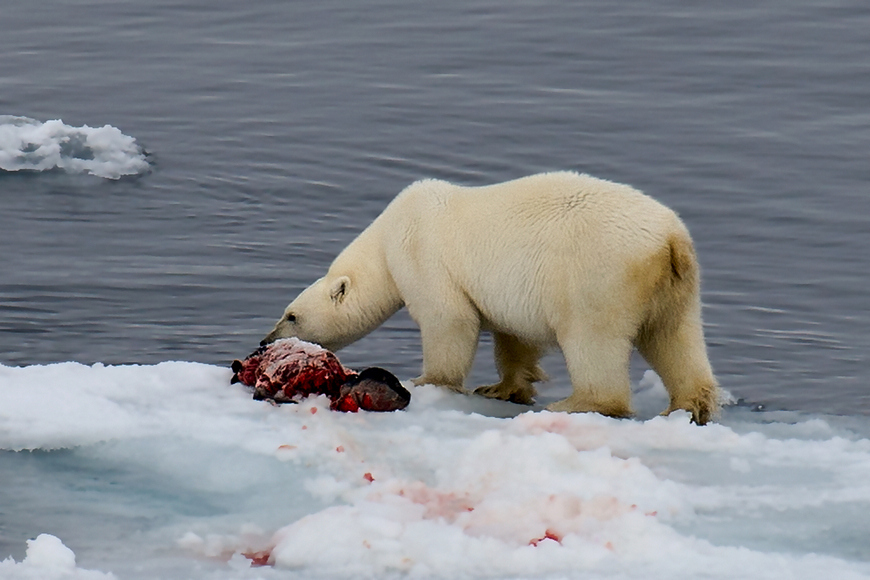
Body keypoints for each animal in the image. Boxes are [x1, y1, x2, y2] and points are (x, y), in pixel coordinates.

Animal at [262, 171, 720, 422]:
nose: (265, 342)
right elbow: (514, 336)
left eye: (291, 315)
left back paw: (578, 402)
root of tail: (668, 241)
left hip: (598, 274)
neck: (386, 240)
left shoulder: (424, 254)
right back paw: (691, 405)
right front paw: (502, 388)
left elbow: (449, 320)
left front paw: (427, 380)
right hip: (678, 284)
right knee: (674, 337)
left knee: (592, 339)